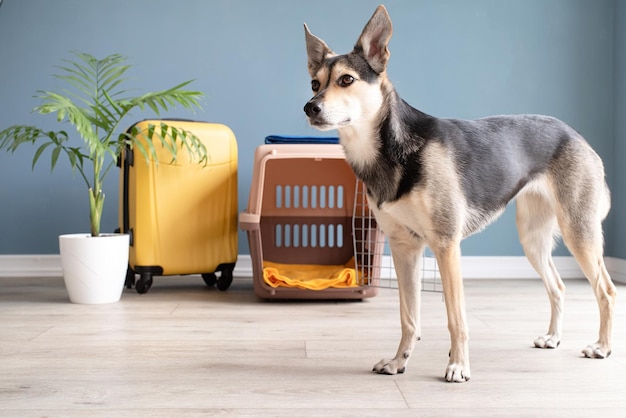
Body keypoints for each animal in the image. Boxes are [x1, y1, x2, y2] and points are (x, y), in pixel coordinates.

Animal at [302, 4, 616, 382]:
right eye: (314, 83)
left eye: (346, 80)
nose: (310, 107)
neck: (390, 149)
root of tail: (576, 135)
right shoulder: (405, 249)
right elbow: (409, 318)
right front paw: (398, 361)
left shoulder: (445, 246)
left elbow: (456, 318)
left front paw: (458, 365)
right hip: (532, 238)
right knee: (558, 286)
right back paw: (553, 338)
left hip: (578, 231)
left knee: (606, 291)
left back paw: (601, 347)